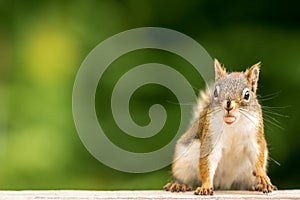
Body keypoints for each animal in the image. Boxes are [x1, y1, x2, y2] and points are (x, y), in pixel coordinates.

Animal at [164, 58, 276, 195]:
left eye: (247, 94)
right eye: (215, 92)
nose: (228, 104)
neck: (233, 124)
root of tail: (222, 182)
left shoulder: (254, 137)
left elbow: (257, 158)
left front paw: (264, 179)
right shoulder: (211, 139)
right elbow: (207, 164)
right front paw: (205, 186)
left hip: (248, 174)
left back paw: (257, 186)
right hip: (183, 164)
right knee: (183, 177)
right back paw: (178, 185)